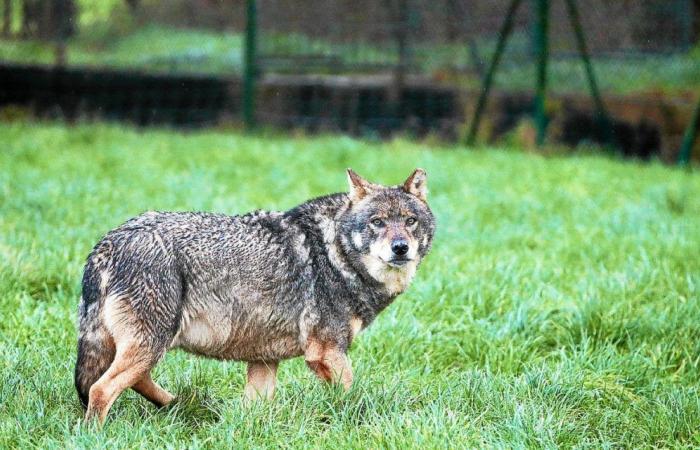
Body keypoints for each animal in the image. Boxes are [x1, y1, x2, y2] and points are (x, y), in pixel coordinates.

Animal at [78, 168, 438, 422]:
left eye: (410, 221)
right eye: (377, 222)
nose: (400, 248)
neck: (335, 253)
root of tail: (109, 242)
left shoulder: (264, 360)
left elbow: (255, 410)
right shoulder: (326, 352)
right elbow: (351, 394)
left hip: (143, 346)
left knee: (132, 381)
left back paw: (182, 405)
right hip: (152, 344)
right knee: (100, 389)